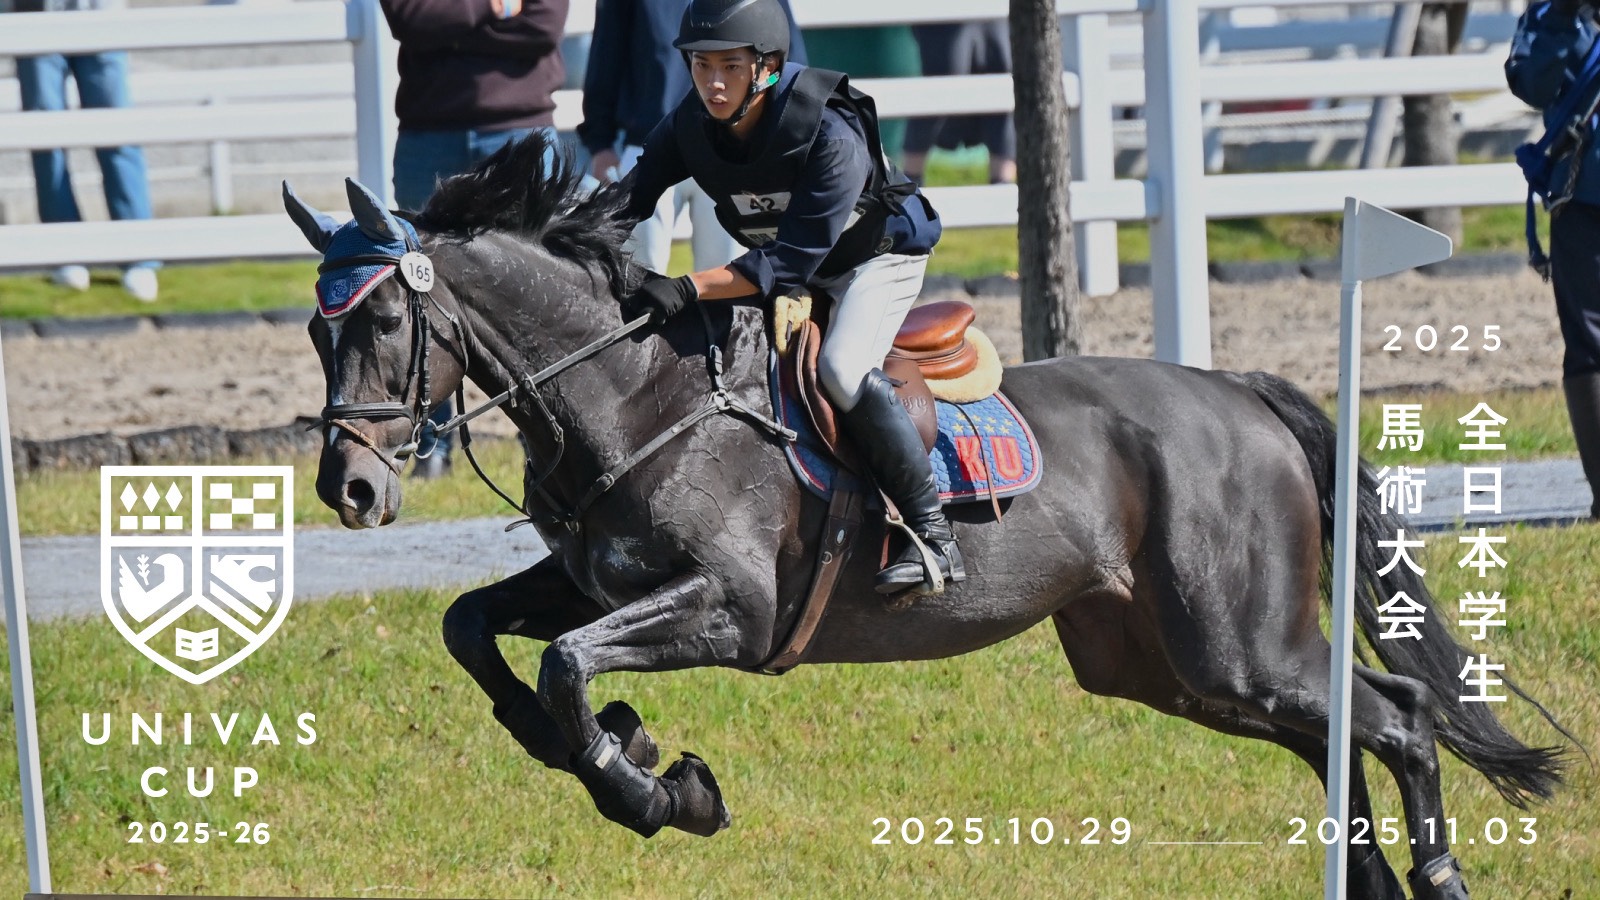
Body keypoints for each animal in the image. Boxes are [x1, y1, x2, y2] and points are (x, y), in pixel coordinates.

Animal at [285, 134, 1569, 899]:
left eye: (385, 326)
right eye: (312, 328)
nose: (351, 491)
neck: (637, 391)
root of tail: (1240, 393)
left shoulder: (726, 611)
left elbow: (563, 662)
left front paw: (654, 788)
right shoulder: (594, 581)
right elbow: (479, 630)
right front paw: (609, 745)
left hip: (1230, 643)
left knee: (1398, 717)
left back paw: (1440, 880)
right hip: (1162, 663)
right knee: (1337, 728)